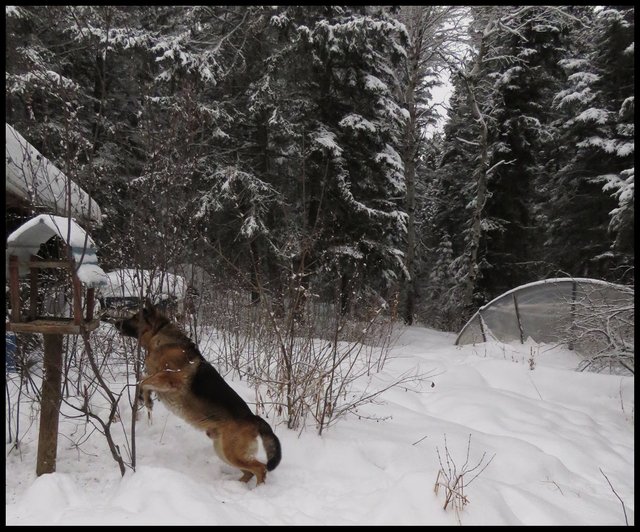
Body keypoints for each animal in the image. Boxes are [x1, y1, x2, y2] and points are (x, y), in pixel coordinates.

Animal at [113, 300, 282, 486]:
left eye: (135, 317)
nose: (114, 323)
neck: (161, 338)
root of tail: (254, 418)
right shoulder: (159, 379)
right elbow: (143, 380)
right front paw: (145, 398)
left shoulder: (169, 379)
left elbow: (142, 380)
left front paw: (146, 400)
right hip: (223, 450)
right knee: (249, 471)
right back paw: (238, 485)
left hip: (231, 452)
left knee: (261, 468)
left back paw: (257, 489)